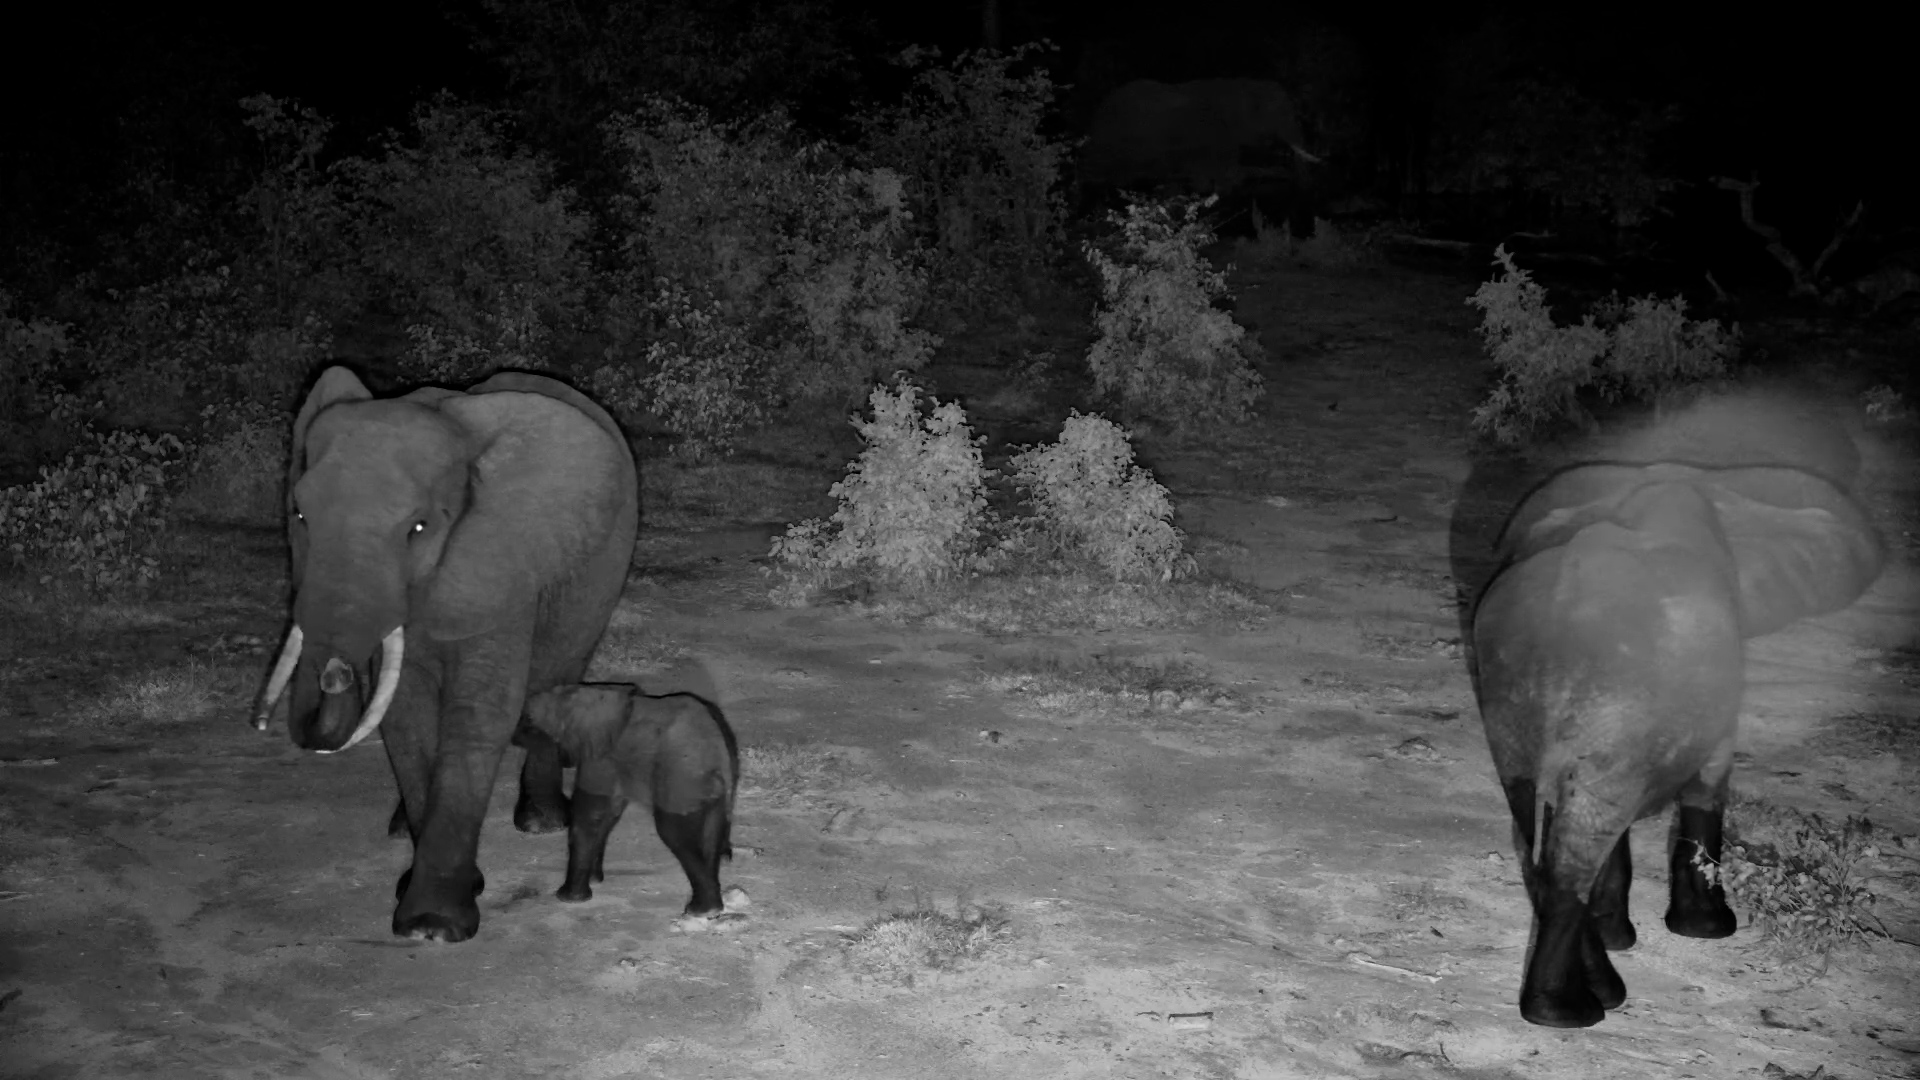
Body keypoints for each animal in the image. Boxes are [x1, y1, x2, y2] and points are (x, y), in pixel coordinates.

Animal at [253, 366, 640, 942]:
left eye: (419, 528)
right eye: (298, 514)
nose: (335, 675)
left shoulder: (501, 566)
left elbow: (477, 713)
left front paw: (432, 926)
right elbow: (406, 714)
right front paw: (425, 898)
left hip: (595, 586)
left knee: (554, 679)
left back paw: (543, 822)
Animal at [519, 682, 742, 919]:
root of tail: (718, 760)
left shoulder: (601, 757)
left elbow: (589, 814)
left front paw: (569, 898)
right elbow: (610, 813)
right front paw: (595, 881)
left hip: (680, 782)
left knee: (673, 832)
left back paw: (700, 911)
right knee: (711, 830)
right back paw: (709, 909)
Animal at [1470, 454, 1881, 1027]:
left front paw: (1623, 936)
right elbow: (1709, 783)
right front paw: (1709, 930)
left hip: (1515, 698)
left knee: (1541, 827)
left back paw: (1592, 990)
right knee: (1575, 842)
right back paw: (1572, 1011)